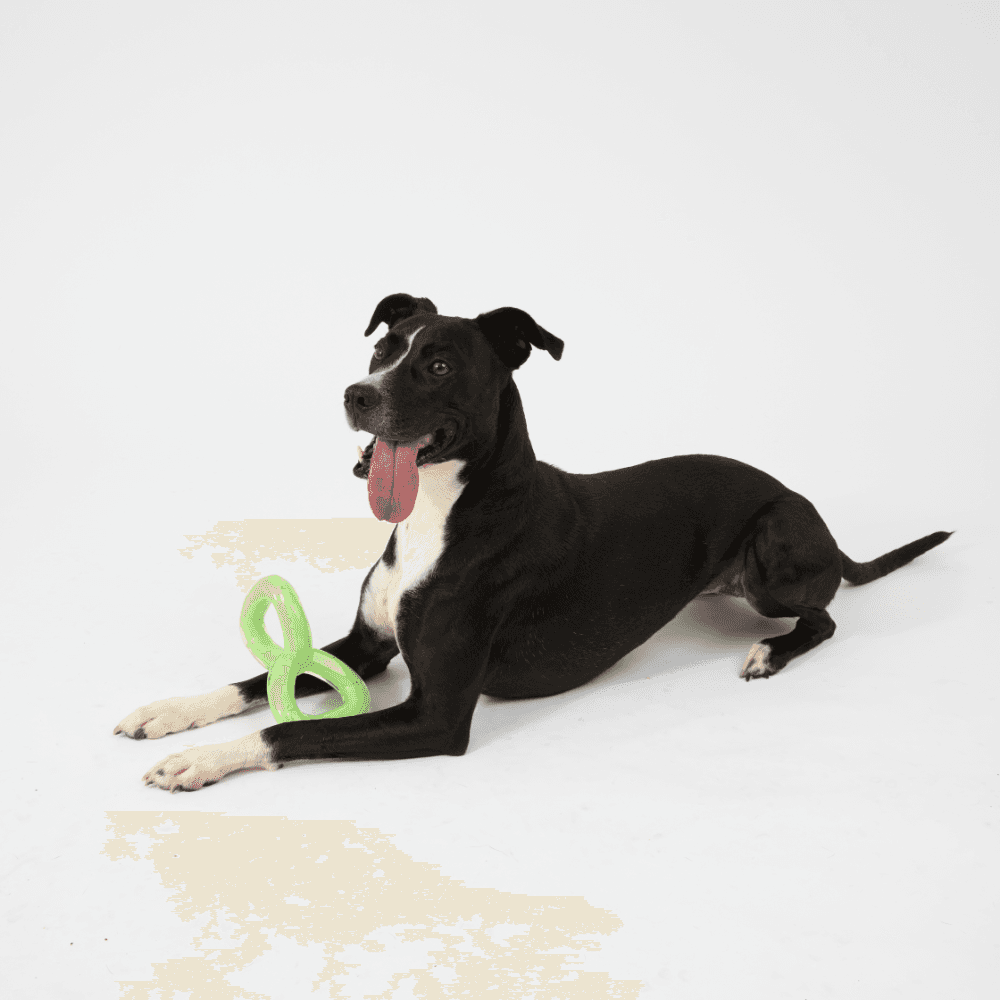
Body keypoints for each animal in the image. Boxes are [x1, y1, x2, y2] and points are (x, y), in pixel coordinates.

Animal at [117, 293, 951, 791]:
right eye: (382, 350)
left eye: (439, 363)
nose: (355, 395)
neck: (442, 514)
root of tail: (815, 517)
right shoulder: (366, 648)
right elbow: (250, 683)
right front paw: (169, 714)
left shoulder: (437, 714)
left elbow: (286, 730)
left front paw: (198, 760)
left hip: (773, 558)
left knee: (825, 615)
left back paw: (769, 653)